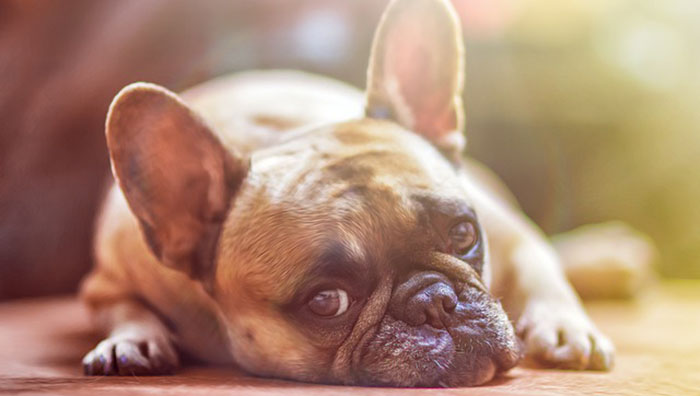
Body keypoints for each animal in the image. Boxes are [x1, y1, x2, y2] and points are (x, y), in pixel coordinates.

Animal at [82, 0, 612, 386]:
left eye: (463, 235)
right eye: (327, 301)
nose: (434, 300)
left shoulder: (504, 230)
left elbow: (539, 267)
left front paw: (566, 324)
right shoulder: (104, 280)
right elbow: (121, 307)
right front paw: (131, 339)